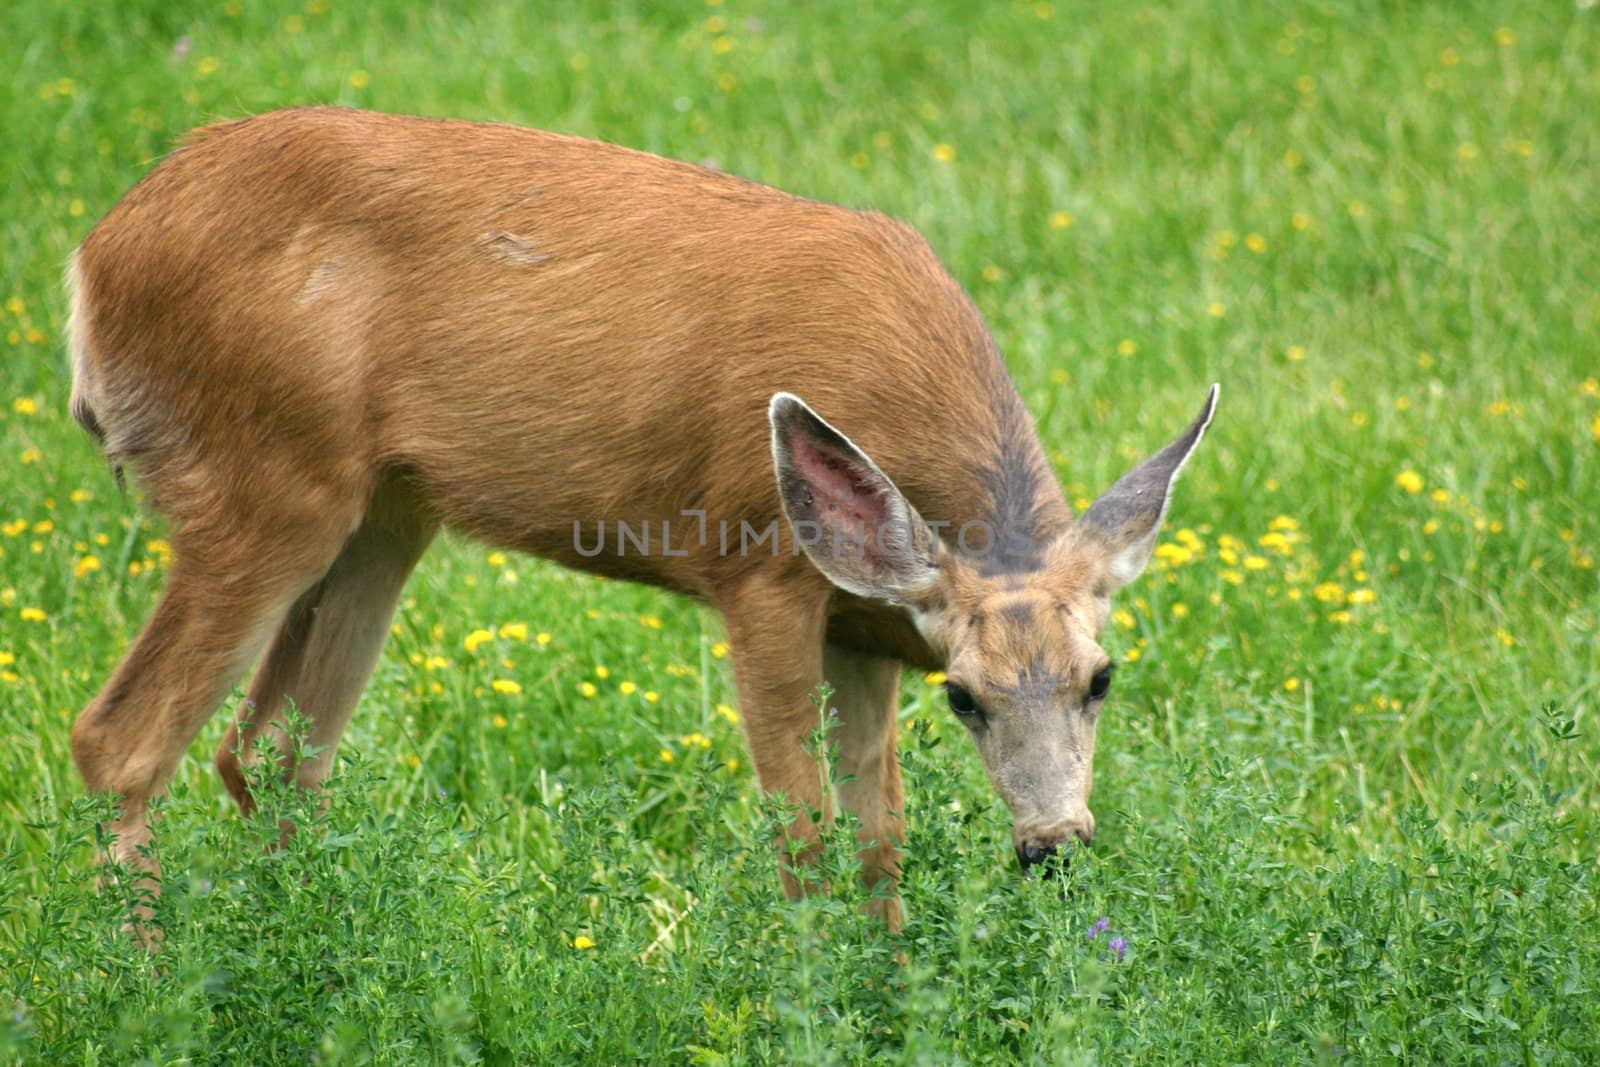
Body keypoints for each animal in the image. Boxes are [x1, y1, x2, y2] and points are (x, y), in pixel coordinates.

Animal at [62, 103, 1209, 927]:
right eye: (964, 696)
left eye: (1102, 676)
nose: (1054, 845)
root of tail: (93, 263)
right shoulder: (760, 568)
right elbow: (801, 829)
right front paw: (819, 998)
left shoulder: (867, 623)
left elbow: (880, 833)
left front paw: (895, 992)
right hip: (260, 476)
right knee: (120, 737)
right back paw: (149, 988)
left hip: (383, 507)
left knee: (271, 752)